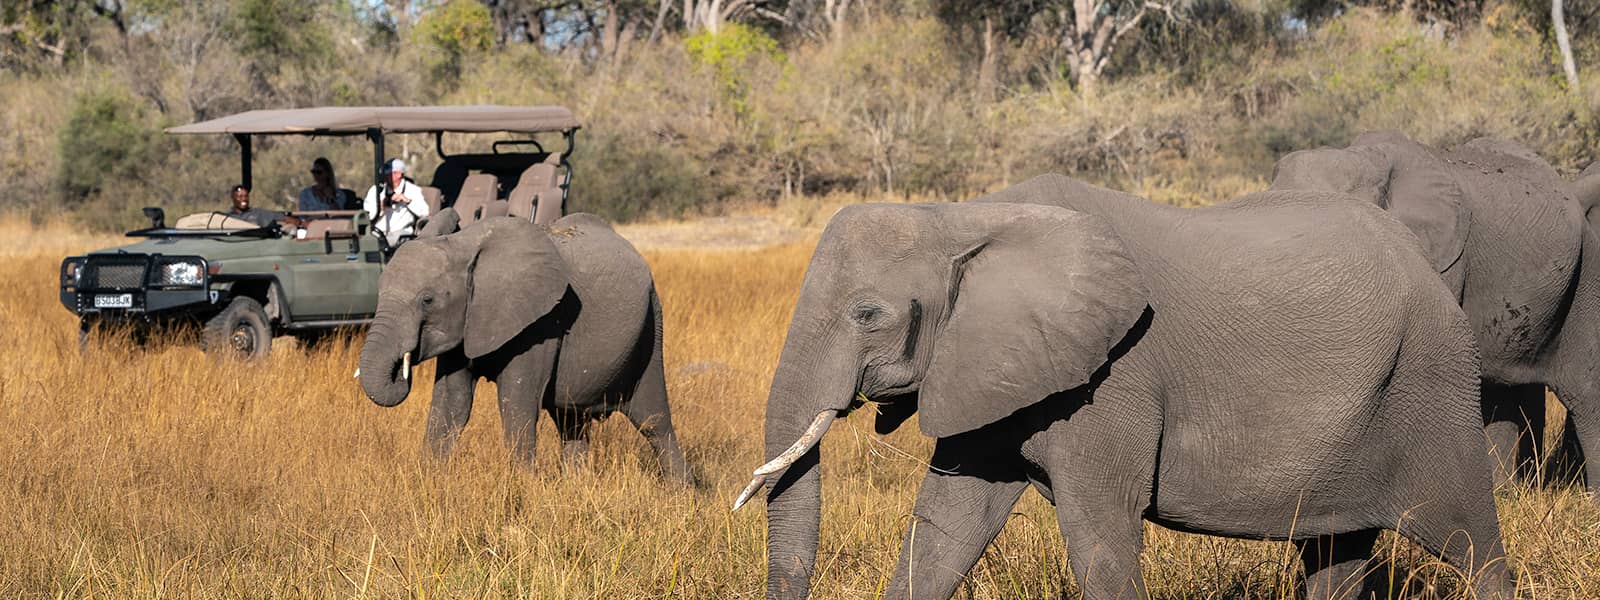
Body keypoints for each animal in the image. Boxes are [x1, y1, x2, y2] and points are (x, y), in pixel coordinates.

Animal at [358, 209, 692, 483]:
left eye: (427, 300)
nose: (401, 368)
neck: (464, 245)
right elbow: (452, 404)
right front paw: (429, 479)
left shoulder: (543, 323)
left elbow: (516, 402)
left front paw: (520, 487)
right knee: (571, 421)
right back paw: (576, 487)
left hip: (651, 324)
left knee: (654, 420)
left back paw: (681, 493)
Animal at [734, 174, 1511, 600]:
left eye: (868, 315)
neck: (964, 215)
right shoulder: (993, 366)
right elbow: (948, 525)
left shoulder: (1111, 378)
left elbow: (1100, 534)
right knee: (1335, 554)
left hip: (1433, 381)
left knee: (1473, 542)